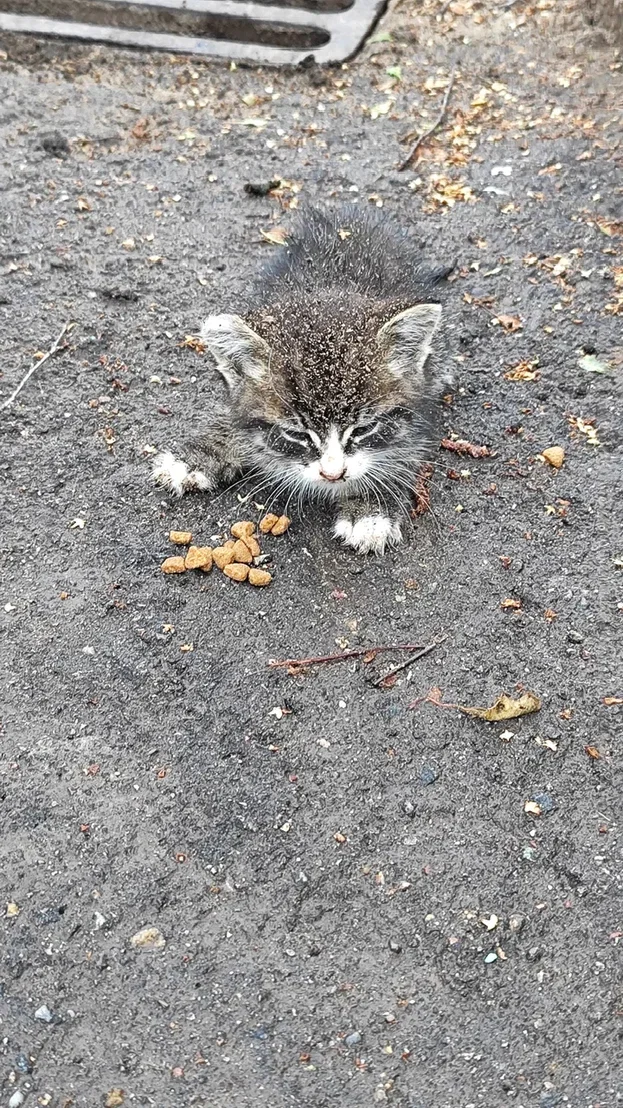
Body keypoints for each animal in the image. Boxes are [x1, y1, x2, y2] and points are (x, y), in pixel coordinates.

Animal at [151, 206, 447, 551]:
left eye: (364, 429)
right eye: (296, 434)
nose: (333, 475)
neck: (331, 287)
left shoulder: (425, 397)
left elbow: (402, 451)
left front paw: (371, 510)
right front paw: (196, 456)